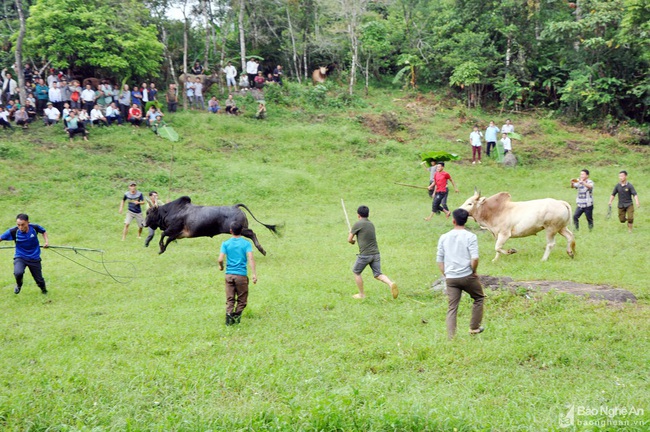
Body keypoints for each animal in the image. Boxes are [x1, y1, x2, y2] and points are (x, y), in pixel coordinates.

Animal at [144, 197, 278, 255]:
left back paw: (262, 249)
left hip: (239, 229)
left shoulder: (172, 229)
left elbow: (163, 235)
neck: (170, 211)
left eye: (148, 212)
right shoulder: (178, 234)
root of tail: (235, 206)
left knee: (252, 233)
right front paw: (162, 250)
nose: (143, 223)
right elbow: (168, 239)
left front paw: (160, 247)